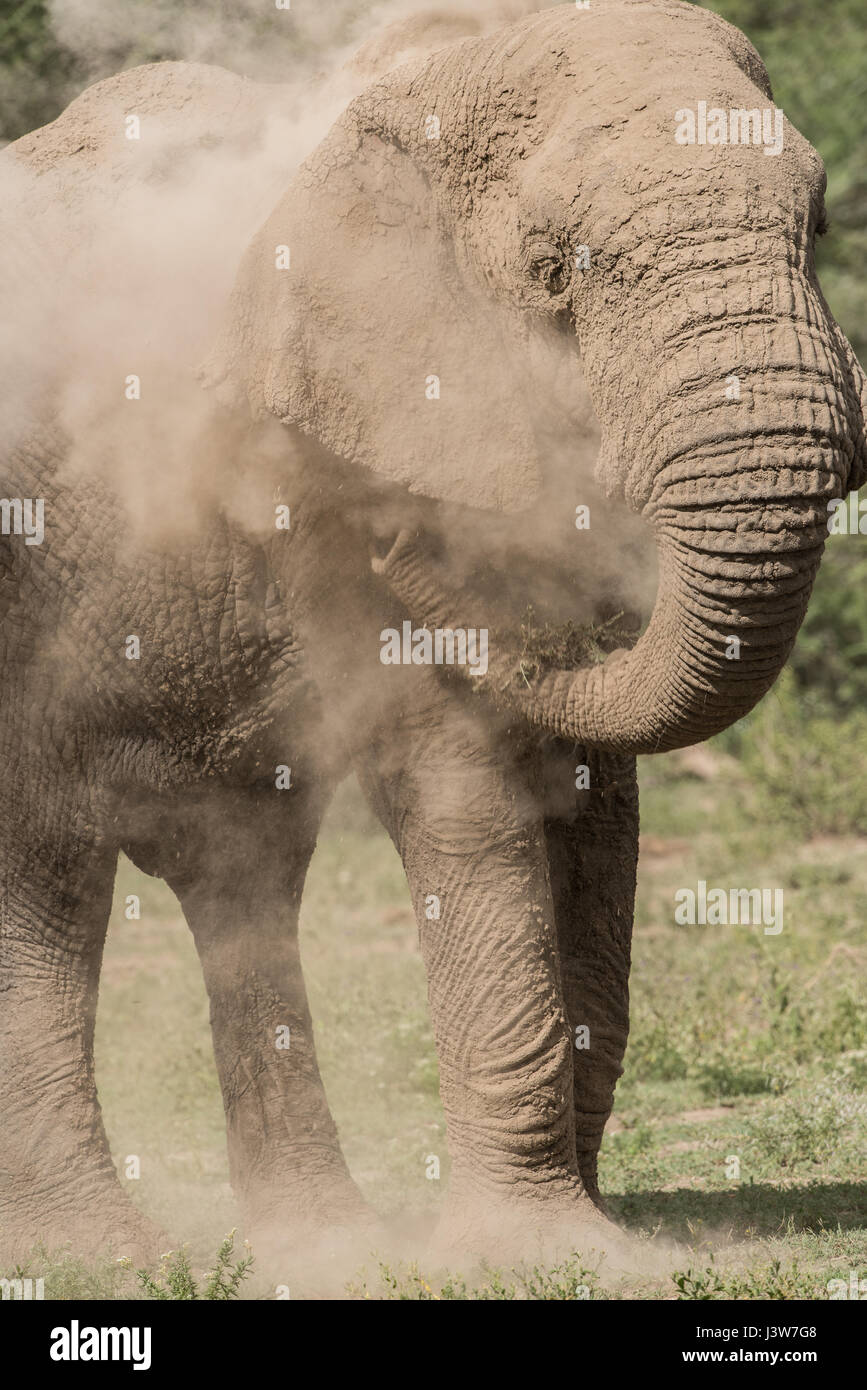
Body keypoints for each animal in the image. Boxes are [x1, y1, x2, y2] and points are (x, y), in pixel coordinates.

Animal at [0, 2, 861, 1273]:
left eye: (817, 226)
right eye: (555, 272)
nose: (409, 540)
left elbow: (596, 805)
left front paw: (589, 1235)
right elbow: (461, 786)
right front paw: (538, 1253)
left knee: (240, 862)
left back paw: (321, 1246)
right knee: (51, 856)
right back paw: (105, 1250)